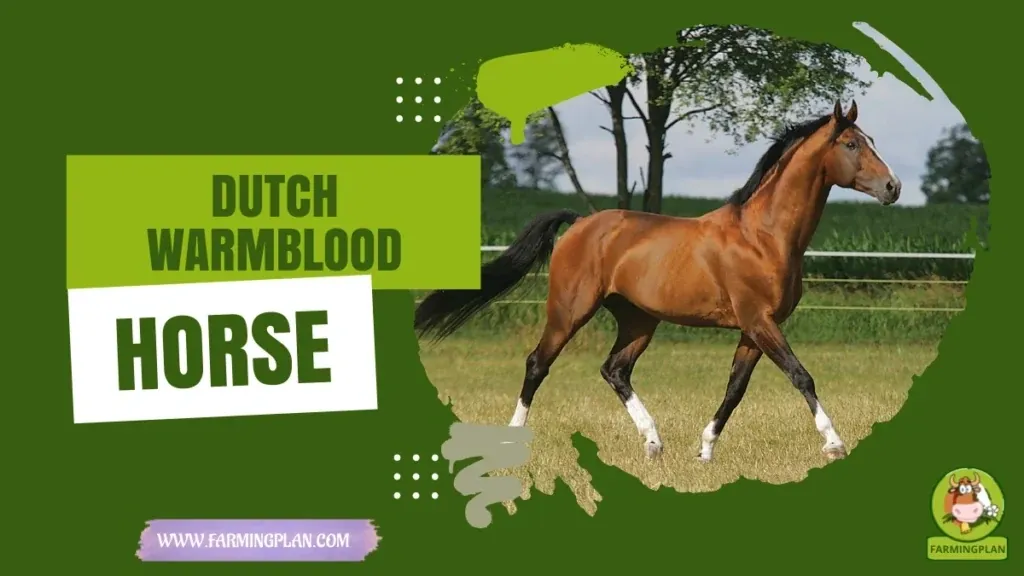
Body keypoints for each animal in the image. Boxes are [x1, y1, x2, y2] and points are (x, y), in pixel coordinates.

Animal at [415, 100, 901, 462]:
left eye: (873, 142)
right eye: (852, 143)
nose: (893, 188)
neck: (764, 236)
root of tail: (580, 223)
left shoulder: (753, 329)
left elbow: (735, 389)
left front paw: (704, 451)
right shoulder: (759, 321)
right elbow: (802, 376)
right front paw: (834, 443)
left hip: (638, 320)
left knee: (614, 369)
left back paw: (653, 443)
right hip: (570, 310)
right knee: (538, 363)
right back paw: (513, 440)